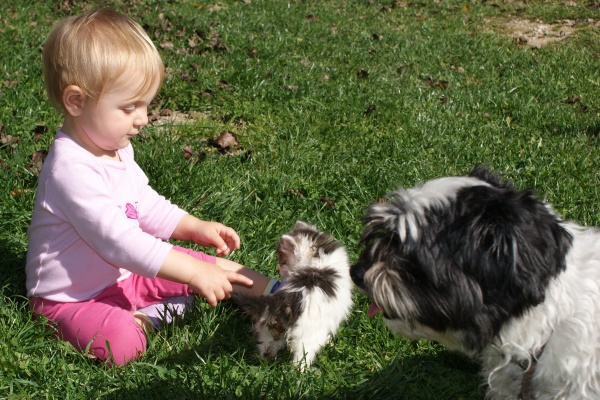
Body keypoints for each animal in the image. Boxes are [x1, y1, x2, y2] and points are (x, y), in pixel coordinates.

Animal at [233, 222, 356, 368]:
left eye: (282, 260)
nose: (279, 269)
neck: (317, 257)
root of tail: (286, 299)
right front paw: (329, 340)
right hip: (308, 335)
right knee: (301, 357)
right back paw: (300, 372)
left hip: (270, 325)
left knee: (268, 341)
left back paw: (267, 356)